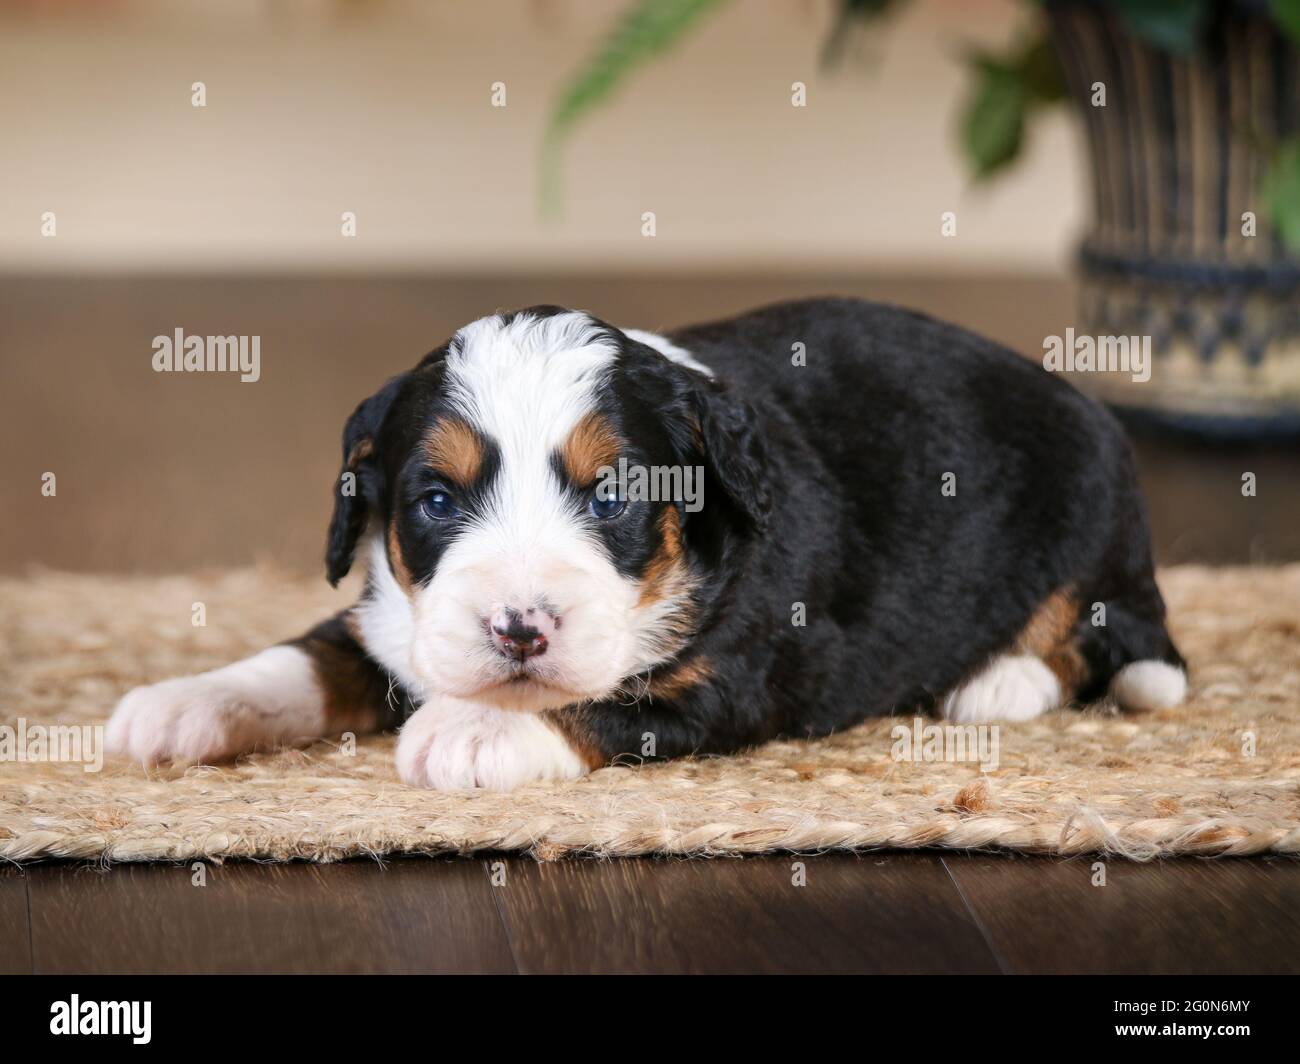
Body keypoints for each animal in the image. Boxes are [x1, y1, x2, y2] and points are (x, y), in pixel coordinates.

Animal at [109, 299, 1190, 785]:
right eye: (435, 499)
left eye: (614, 494)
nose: (517, 629)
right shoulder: (395, 612)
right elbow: (309, 656)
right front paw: (184, 701)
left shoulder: (744, 671)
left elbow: (608, 696)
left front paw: (475, 728)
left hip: (1089, 517)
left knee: (1100, 638)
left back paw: (999, 679)